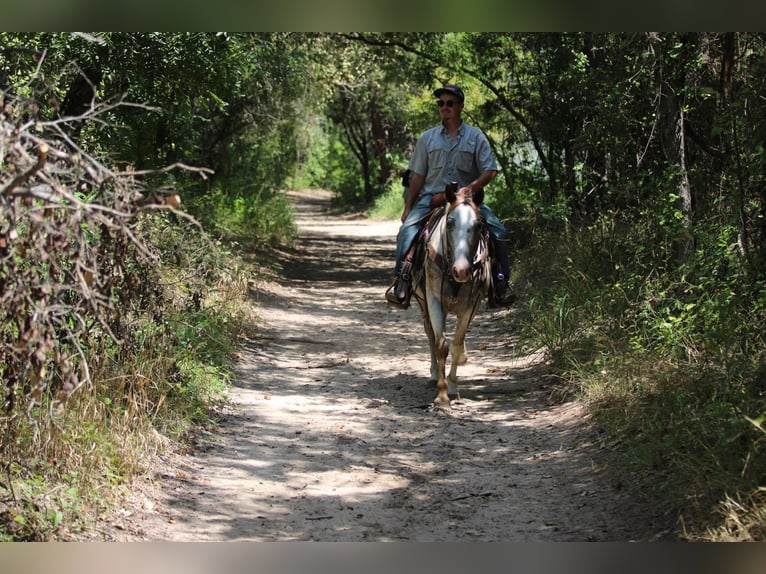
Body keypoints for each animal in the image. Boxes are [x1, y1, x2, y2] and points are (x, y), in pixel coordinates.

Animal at [414, 182, 492, 408]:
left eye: (478, 225)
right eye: (450, 223)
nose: (462, 270)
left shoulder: (471, 305)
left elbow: (456, 345)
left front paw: (452, 387)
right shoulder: (433, 300)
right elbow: (441, 345)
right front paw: (441, 398)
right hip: (423, 303)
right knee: (430, 334)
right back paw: (433, 376)